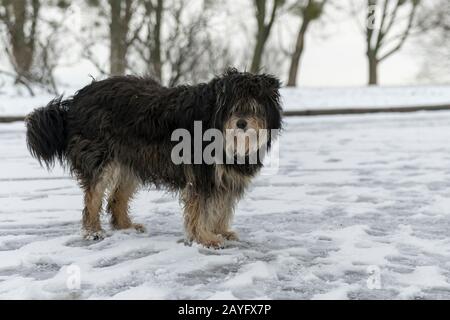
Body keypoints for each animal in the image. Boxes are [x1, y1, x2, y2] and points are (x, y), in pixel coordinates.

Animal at [25, 67, 282, 248]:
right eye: (233, 107)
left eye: (254, 106)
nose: (241, 123)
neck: (214, 120)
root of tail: (74, 101)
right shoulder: (201, 174)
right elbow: (201, 209)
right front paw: (205, 238)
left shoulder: (225, 177)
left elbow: (222, 207)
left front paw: (221, 231)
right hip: (100, 159)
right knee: (93, 198)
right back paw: (93, 231)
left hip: (129, 161)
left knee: (116, 198)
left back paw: (126, 226)